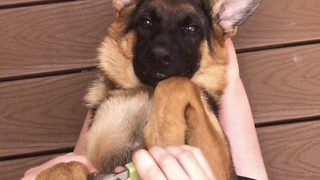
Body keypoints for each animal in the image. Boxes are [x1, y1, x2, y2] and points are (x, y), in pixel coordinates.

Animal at [35, 0, 260, 179]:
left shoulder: (218, 167)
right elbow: (68, 164)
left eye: (191, 29)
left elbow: (177, 82)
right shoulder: (94, 163)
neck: (148, 91)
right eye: (146, 22)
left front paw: (161, 131)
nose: (159, 55)